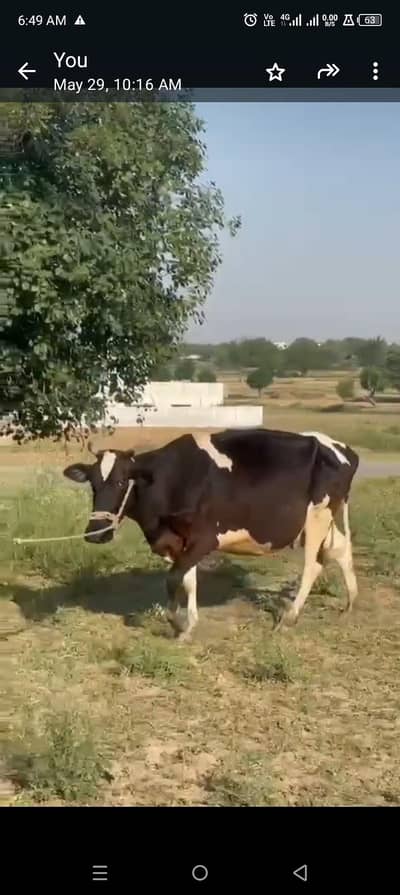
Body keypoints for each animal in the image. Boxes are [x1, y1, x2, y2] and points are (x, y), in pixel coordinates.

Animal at [63, 428, 359, 640]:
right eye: (93, 483)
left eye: (122, 481)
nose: (95, 534)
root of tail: (342, 448)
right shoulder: (180, 542)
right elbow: (188, 580)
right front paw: (190, 625)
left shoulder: (204, 539)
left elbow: (174, 579)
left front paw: (177, 622)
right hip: (324, 518)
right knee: (340, 548)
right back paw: (350, 603)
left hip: (317, 516)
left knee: (312, 565)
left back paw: (290, 617)